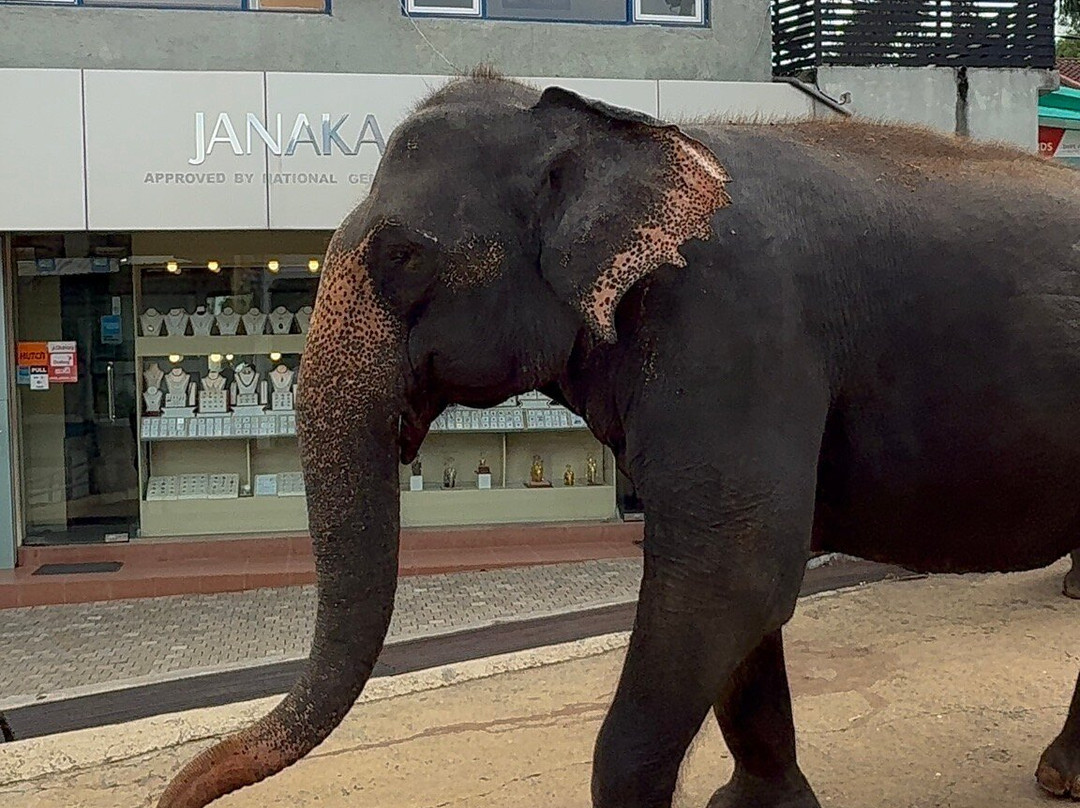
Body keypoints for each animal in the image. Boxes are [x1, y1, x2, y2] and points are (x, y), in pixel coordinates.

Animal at [158, 70, 1080, 808]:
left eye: (405, 255)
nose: (170, 799)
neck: (617, 128)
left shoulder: (739, 326)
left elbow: (731, 572)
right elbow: (738, 590)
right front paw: (760, 807)